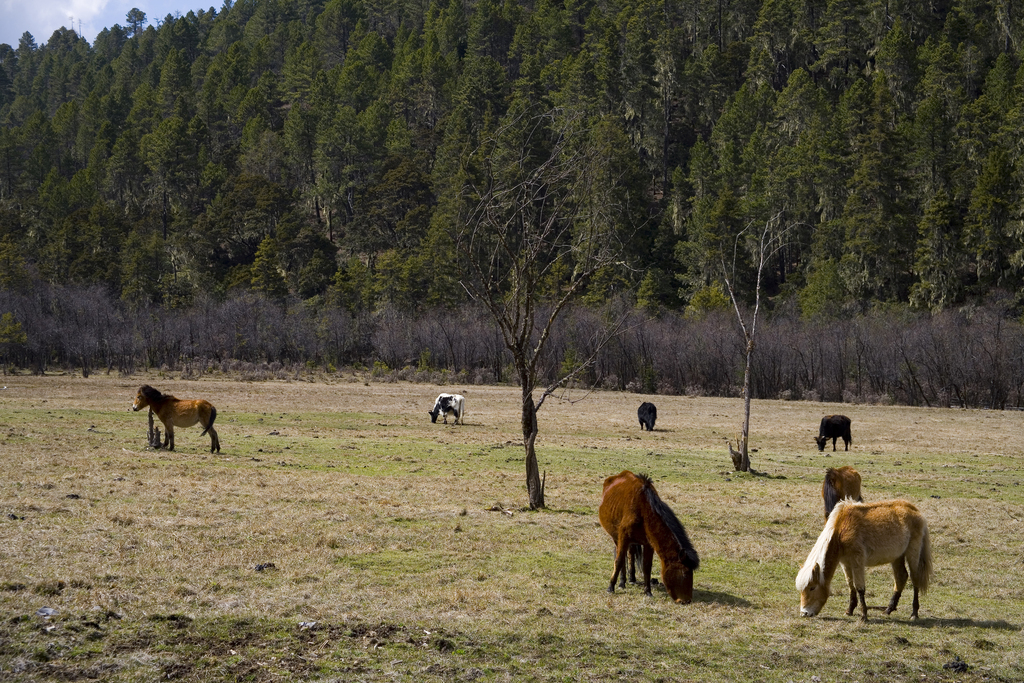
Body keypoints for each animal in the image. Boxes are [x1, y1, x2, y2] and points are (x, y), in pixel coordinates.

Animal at [598, 471, 700, 602]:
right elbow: (619, 560)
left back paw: (631, 579)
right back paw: (622, 582)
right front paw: (611, 587)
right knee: (622, 556)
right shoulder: (623, 538)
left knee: (631, 554)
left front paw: (648, 591)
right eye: (685, 574)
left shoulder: (649, 544)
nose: (687, 601)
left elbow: (646, 566)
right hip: (616, 537)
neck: (643, 510)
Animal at [794, 499, 933, 622]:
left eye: (812, 588)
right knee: (901, 577)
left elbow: (860, 588)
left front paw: (864, 616)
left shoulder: (858, 561)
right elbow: (851, 585)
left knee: (915, 579)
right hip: (897, 556)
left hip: (912, 553)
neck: (841, 529)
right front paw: (850, 610)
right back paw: (888, 609)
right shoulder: (846, 563)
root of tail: (915, 510)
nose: (804, 613)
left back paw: (914, 613)